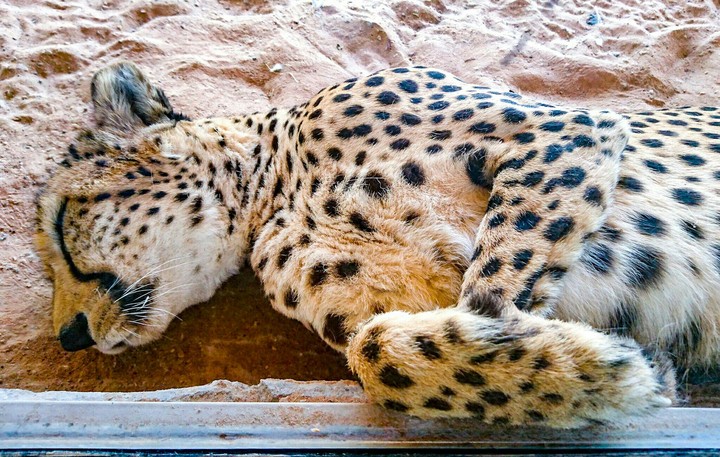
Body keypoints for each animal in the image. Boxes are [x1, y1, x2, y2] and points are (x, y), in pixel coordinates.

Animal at [35, 62, 720, 428]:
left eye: (65, 219)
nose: (68, 334)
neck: (276, 184)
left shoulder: (566, 130)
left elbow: (491, 293)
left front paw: (598, 372)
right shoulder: (384, 309)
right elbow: (380, 348)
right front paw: (609, 370)